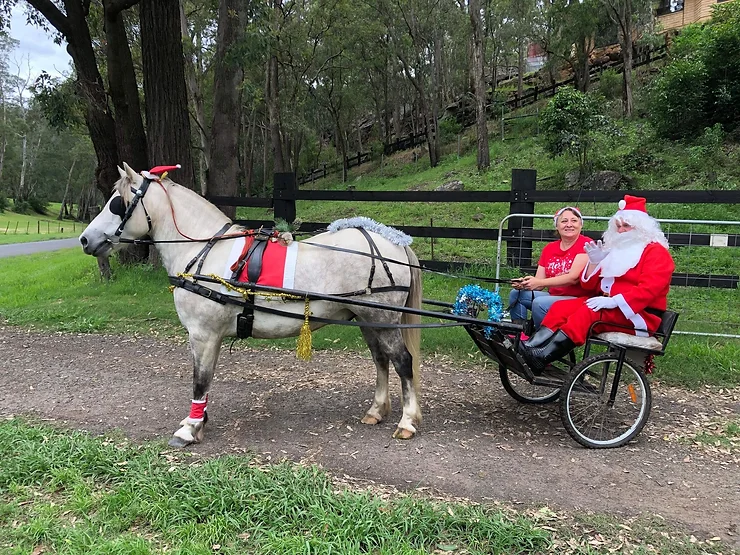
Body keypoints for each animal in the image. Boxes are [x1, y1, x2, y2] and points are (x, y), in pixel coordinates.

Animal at [79, 164, 422, 448]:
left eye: (117, 202)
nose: (84, 239)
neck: (203, 251)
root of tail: (394, 243)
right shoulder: (209, 336)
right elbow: (205, 378)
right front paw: (199, 420)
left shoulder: (203, 334)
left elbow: (199, 380)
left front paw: (189, 429)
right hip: (367, 319)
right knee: (380, 359)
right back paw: (376, 410)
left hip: (382, 317)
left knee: (402, 361)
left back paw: (407, 421)